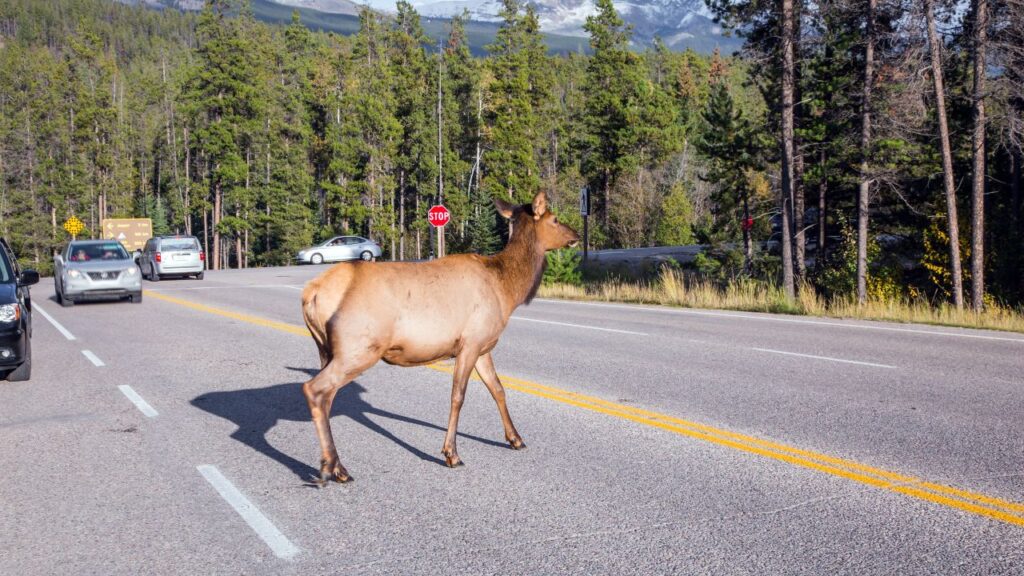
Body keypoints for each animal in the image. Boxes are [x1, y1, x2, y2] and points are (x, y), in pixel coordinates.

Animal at [300, 192, 580, 484]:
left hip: (327, 350)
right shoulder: (470, 343)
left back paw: (336, 467)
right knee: (314, 389)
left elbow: (498, 389)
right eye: (555, 219)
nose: (577, 234)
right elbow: (458, 396)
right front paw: (451, 454)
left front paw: (515, 439)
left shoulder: (483, 346)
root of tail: (311, 293)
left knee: (327, 396)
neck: (507, 289)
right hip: (359, 348)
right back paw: (332, 467)